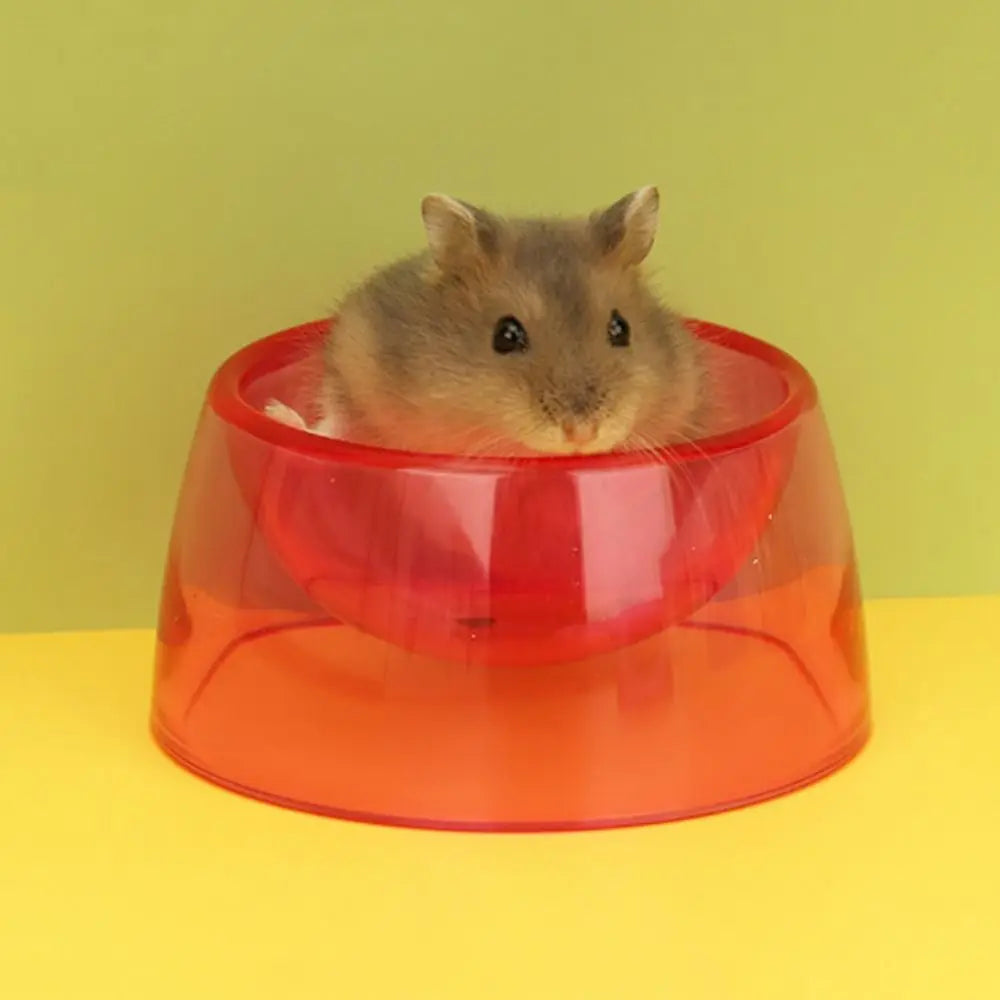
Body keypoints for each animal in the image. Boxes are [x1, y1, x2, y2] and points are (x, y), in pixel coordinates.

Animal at [270, 187, 706, 456]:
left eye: (620, 329)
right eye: (506, 335)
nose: (582, 434)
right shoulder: (352, 354)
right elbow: (335, 424)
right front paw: (280, 414)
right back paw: (278, 414)